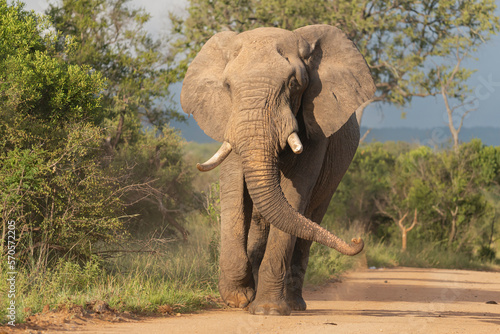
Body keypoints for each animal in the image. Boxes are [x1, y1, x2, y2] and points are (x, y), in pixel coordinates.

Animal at [181, 24, 376, 314]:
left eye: (294, 85)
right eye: (227, 87)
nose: (357, 241)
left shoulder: (316, 126)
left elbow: (294, 195)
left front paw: (267, 309)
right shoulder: (229, 120)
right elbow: (234, 192)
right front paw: (238, 298)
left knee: (308, 221)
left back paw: (293, 304)